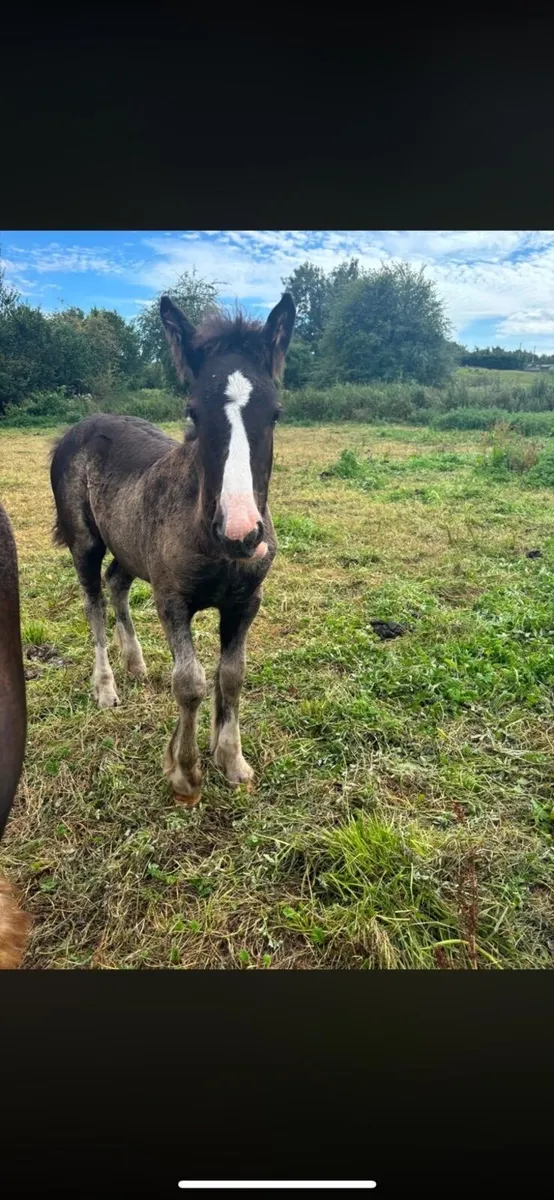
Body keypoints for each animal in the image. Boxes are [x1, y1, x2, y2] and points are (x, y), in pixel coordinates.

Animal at [50, 293, 296, 807]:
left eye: (276, 412)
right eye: (194, 412)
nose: (241, 532)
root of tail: (78, 427)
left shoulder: (246, 603)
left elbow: (232, 675)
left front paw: (231, 759)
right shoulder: (172, 600)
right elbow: (190, 681)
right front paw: (185, 772)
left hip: (129, 549)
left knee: (116, 584)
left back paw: (137, 664)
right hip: (85, 544)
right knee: (93, 603)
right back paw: (106, 687)